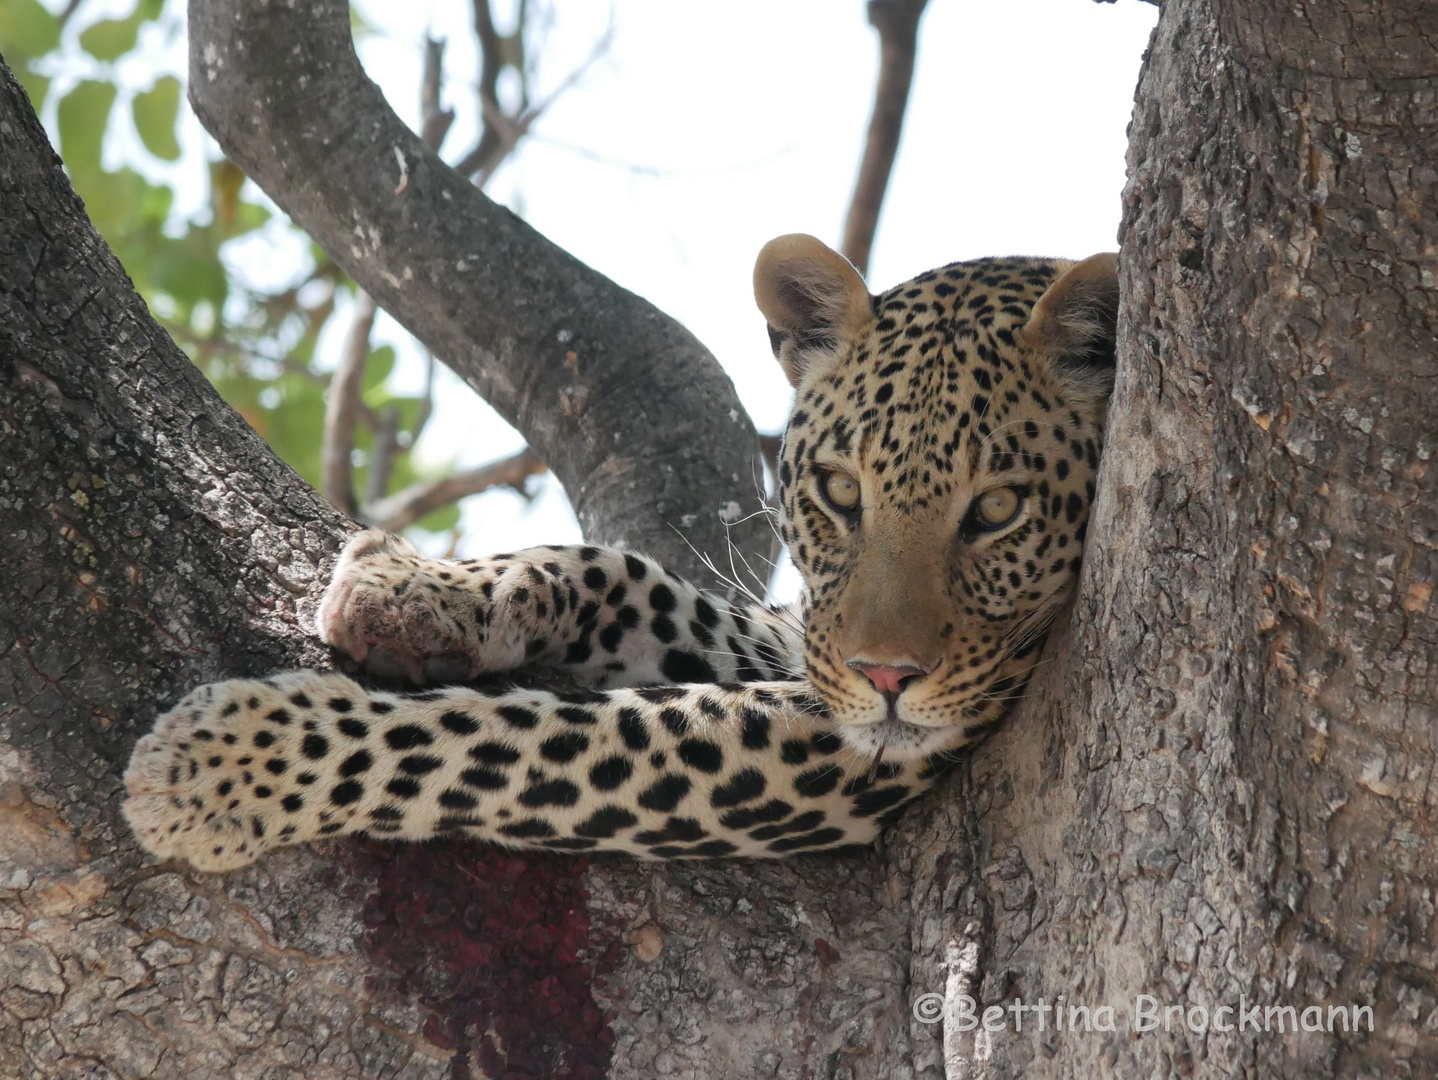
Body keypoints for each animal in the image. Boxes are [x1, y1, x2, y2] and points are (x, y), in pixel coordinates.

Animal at [123, 234, 1115, 868]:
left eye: (998, 510)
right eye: (841, 492)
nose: (887, 679)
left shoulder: (827, 746)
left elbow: (503, 743)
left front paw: (227, 765)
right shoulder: (813, 649)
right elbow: (630, 575)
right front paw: (416, 586)